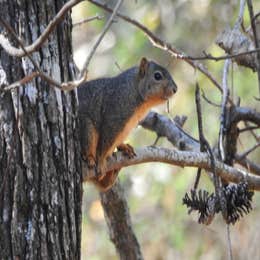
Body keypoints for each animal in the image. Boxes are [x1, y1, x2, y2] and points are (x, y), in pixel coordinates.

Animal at [78, 57, 178, 191]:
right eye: (157, 76)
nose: (175, 89)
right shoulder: (114, 116)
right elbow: (105, 142)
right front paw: (101, 161)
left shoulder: (128, 127)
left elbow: (117, 141)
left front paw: (124, 146)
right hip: (86, 127)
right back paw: (90, 159)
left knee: (104, 184)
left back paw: (114, 171)